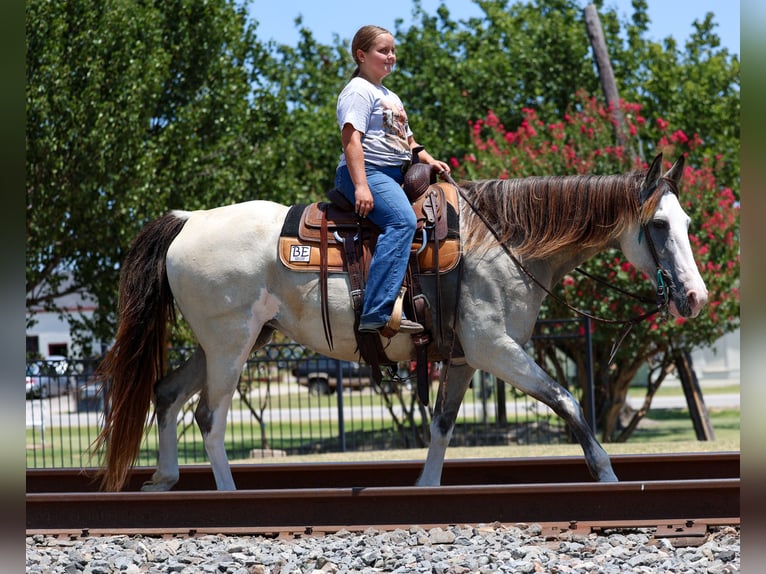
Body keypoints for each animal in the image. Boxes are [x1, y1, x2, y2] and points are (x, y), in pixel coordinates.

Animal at [93, 153, 707, 491]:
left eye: (687, 221)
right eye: (657, 224)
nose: (696, 297)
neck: (502, 243)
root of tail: (189, 219)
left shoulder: (462, 358)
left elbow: (441, 426)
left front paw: (426, 486)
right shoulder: (496, 349)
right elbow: (570, 402)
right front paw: (607, 477)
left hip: (226, 342)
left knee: (167, 394)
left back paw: (165, 479)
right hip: (230, 344)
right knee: (209, 417)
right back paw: (226, 496)